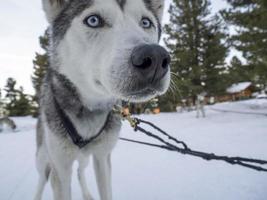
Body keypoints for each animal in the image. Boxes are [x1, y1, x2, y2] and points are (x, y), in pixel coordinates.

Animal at [34, 0, 171, 199]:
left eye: (146, 22)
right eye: (93, 20)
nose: (155, 57)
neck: (90, 108)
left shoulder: (102, 158)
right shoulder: (60, 168)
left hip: (83, 158)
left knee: (80, 171)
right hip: (43, 160)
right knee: (41, 179)